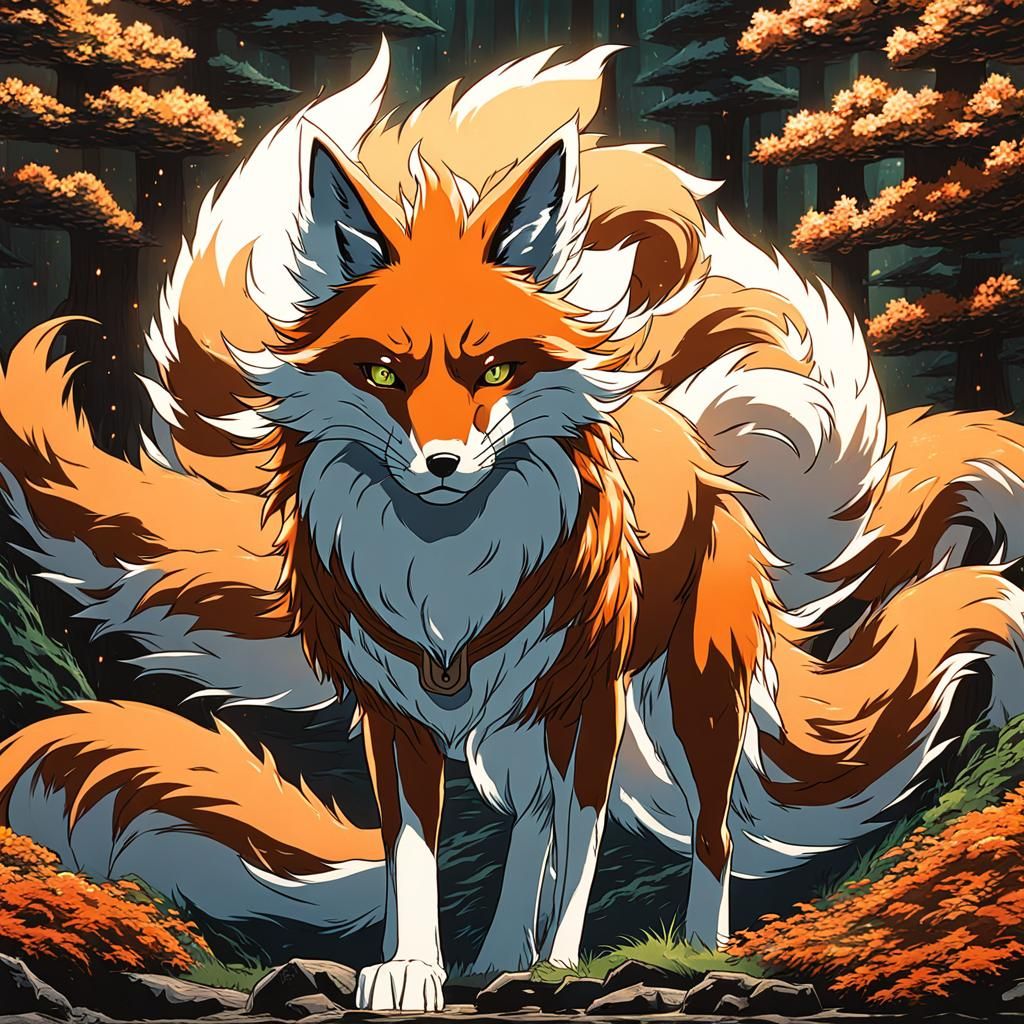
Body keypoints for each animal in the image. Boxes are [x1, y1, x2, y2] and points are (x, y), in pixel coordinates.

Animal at [3, 41, 1024, 1012]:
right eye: (384, 373)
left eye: (493, 369)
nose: (443, 463)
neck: (448, 582)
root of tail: (687, 429)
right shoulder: (396, 719)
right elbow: (416, 859)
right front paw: (410, 970)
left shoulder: (586, 703)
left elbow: (581, 843)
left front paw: (563, 964)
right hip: (518, 729)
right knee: (529, 823)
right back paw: (497, 954)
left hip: (689, 700)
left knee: (705, 830)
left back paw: (692, 947)